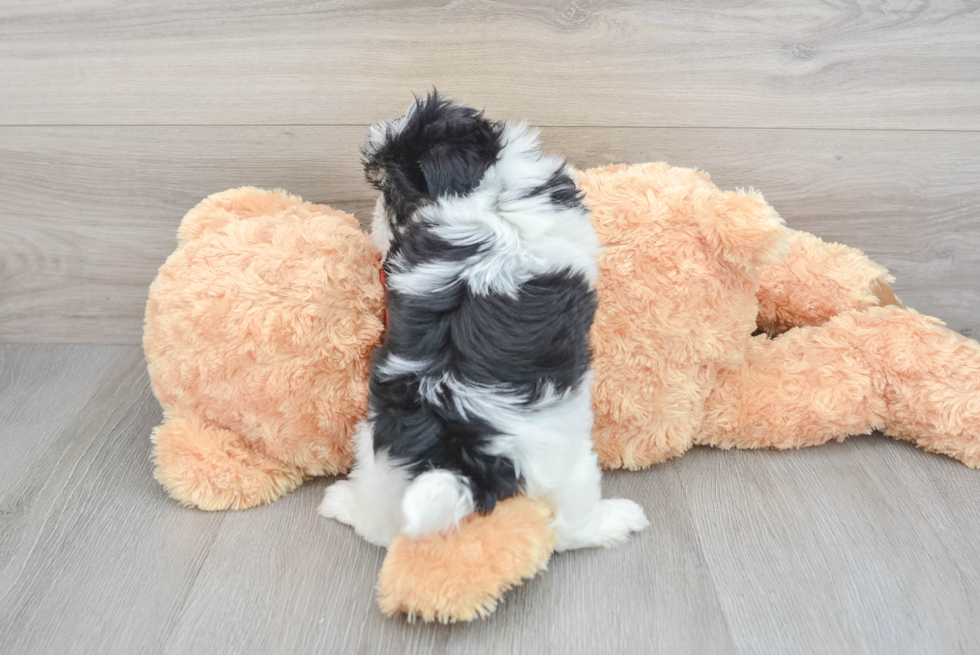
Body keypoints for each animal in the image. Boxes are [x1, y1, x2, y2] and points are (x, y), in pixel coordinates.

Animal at [318, 92, 648, 552]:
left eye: (389, 194)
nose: (378, 219)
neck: (482, 203)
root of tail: (462, 452)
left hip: (379, 443)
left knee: (383, 521)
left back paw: (345, 505)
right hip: (565, 455)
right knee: (569, 522)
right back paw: (615, 521)